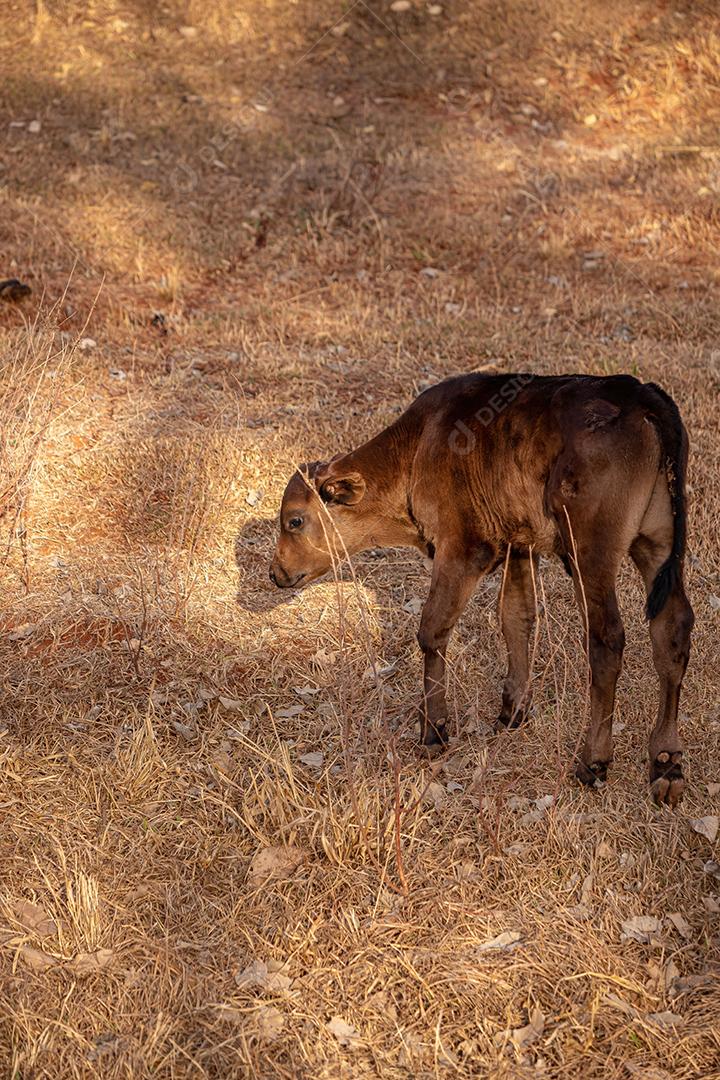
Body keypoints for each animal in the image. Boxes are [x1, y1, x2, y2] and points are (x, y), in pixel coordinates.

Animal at [269, 373, 694, 807]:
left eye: (295, 521)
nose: (277, 572)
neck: (418, 444)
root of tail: (641, 396)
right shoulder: (519, 548)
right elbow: (516, 618)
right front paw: (512, 713)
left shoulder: (464, 550)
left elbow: (433, 630)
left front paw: (433, 732)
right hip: (657, 546)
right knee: (671, 630)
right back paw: (666, 765)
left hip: (590, 556)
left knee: (607, 639)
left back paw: (592, 761)